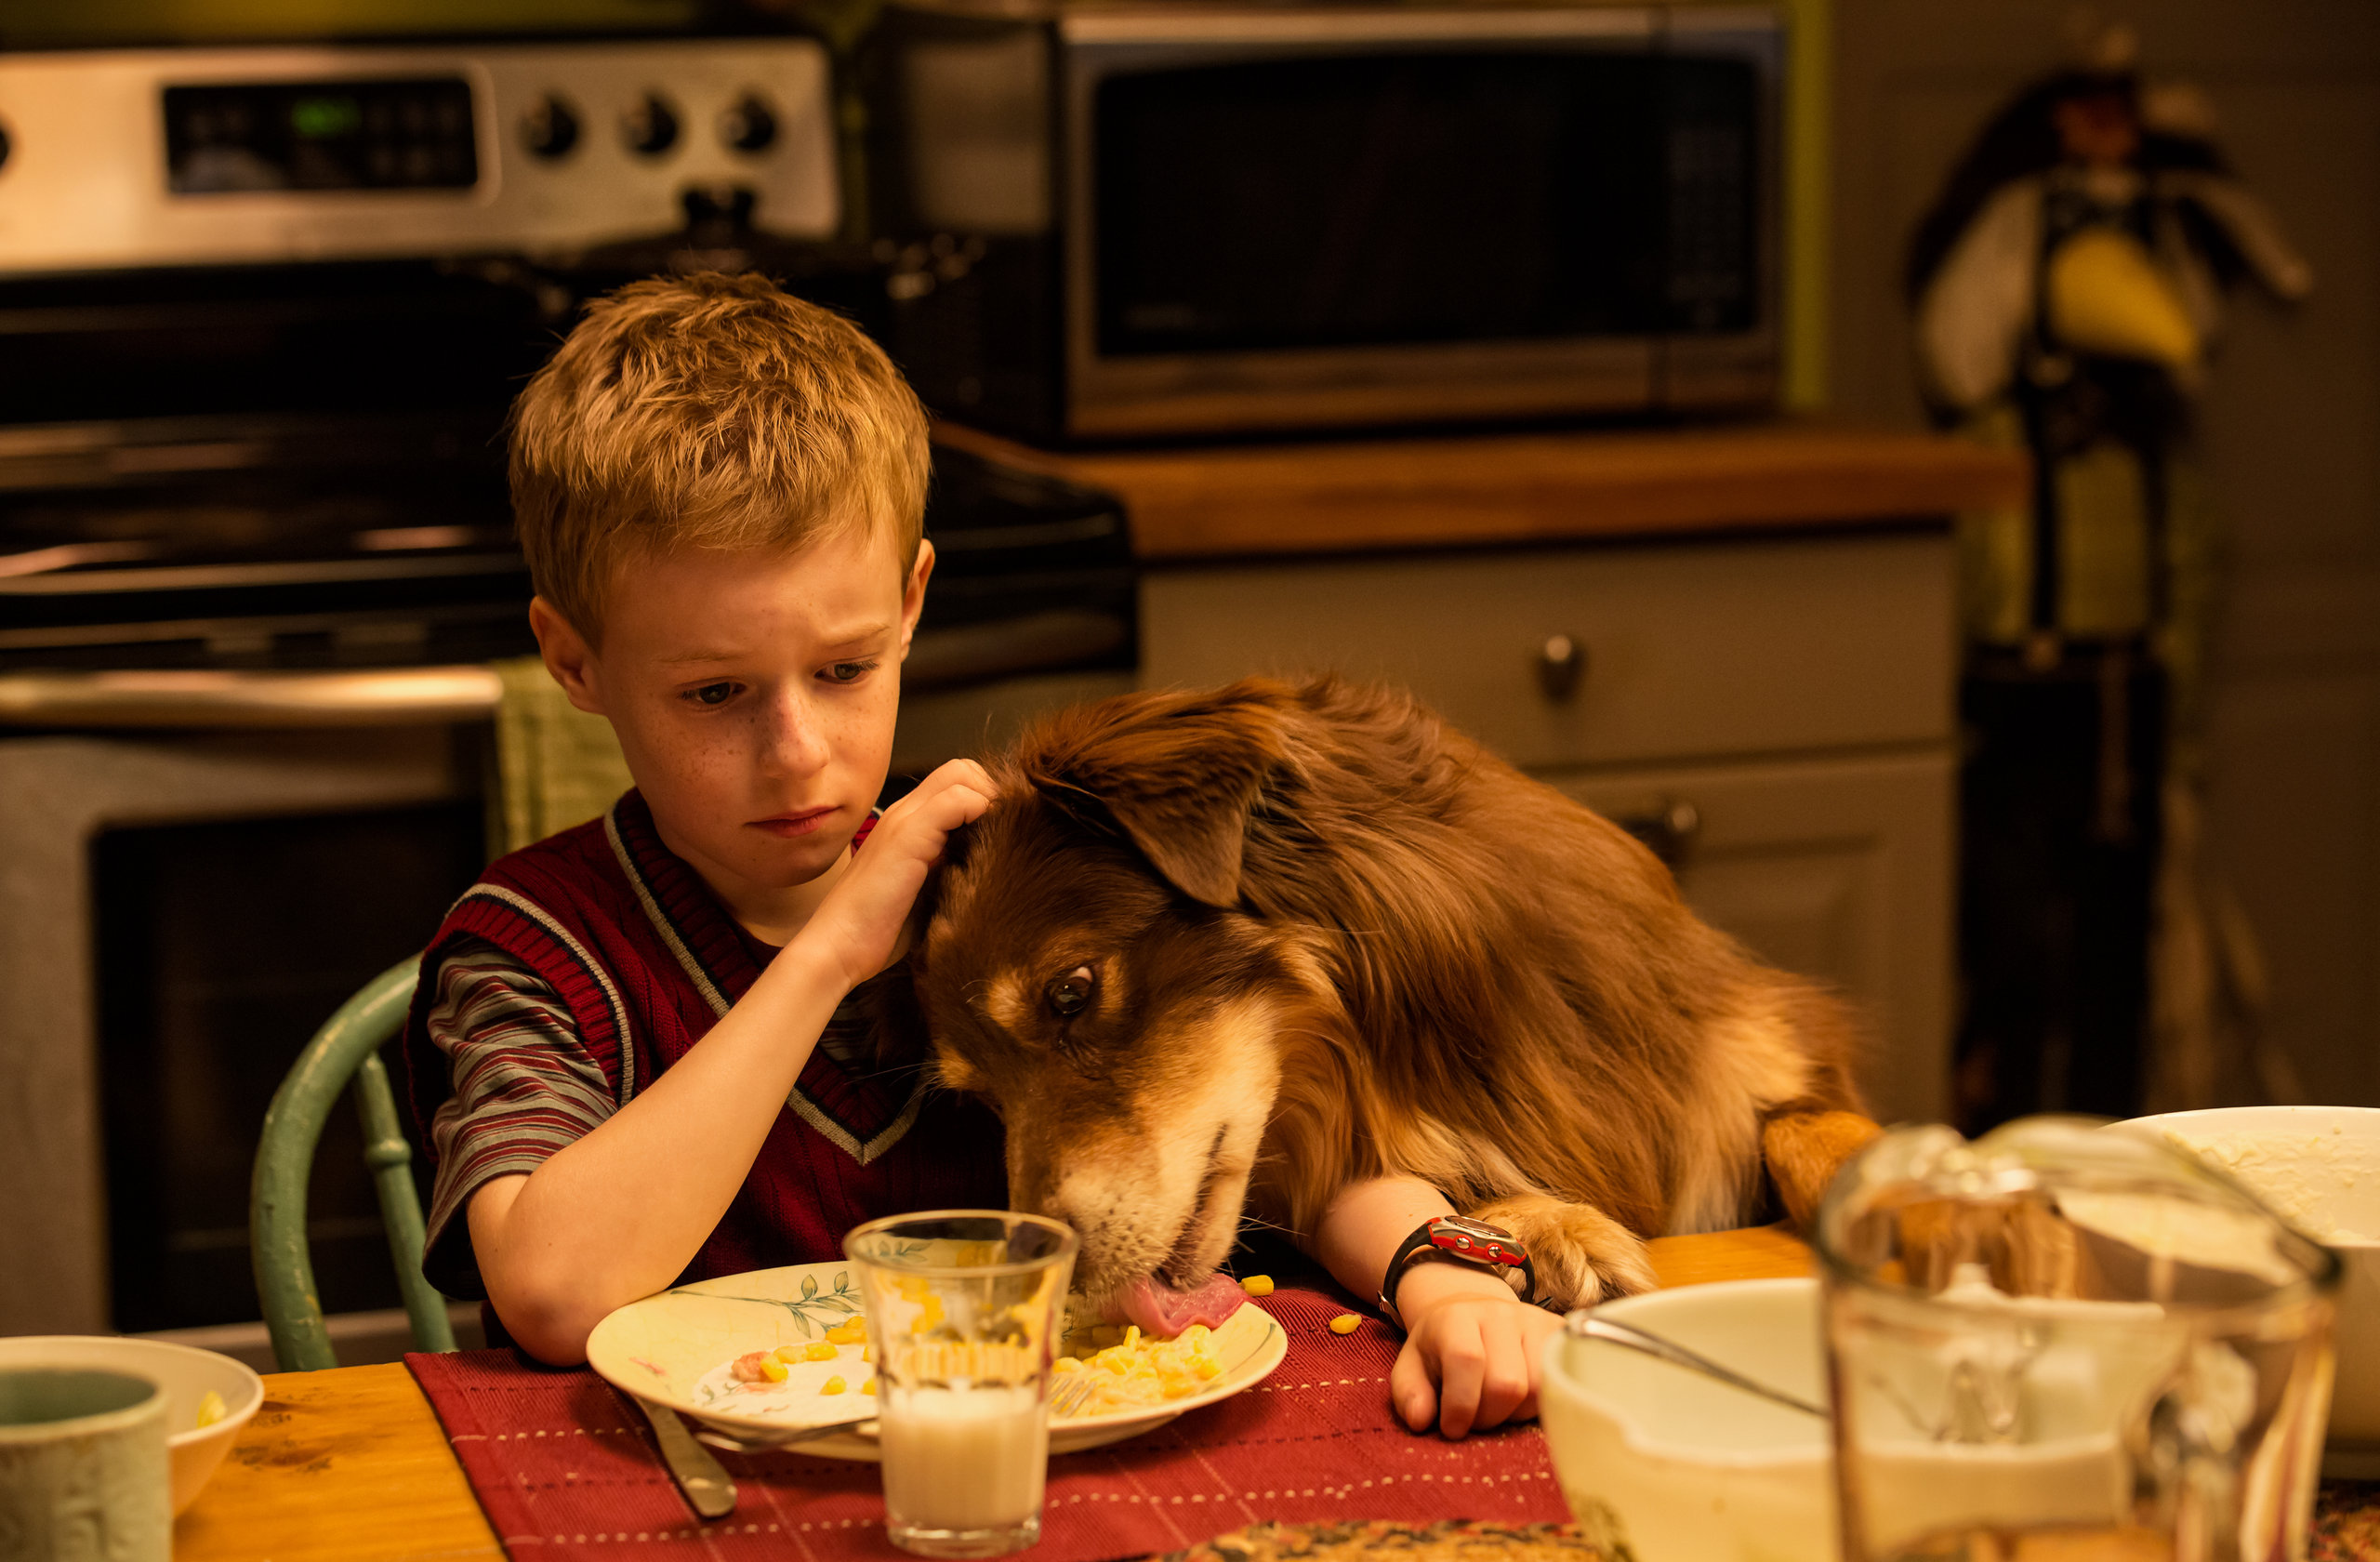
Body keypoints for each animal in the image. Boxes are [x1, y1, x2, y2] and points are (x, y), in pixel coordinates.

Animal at [908, 676, 1875, 1323]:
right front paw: (1553, 1225)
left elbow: (1811, 1129)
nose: (1036, 1273)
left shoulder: (1749, 1050)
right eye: (984, 1098)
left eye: (1070, 993)